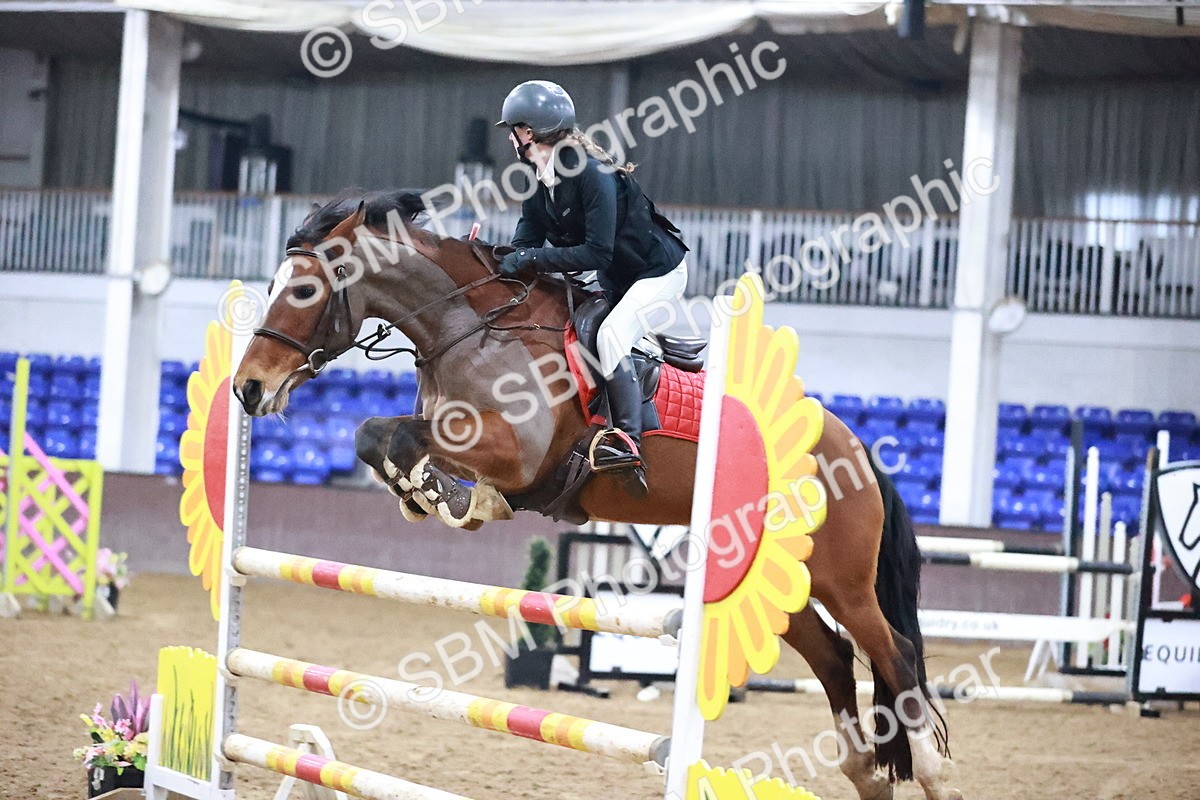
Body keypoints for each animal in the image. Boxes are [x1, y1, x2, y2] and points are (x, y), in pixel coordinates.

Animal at [231, 191, 962, 800]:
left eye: (304, 288)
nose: (247, 389)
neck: (471, 328)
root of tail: (853, 444)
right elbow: (376, 434)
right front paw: (433, 493)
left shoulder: (517, 454)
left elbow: (399, 435)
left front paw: (447, 495)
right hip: (778, 577)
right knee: (837, 659)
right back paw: (865, 774)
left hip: (841, 577)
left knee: (894, 655)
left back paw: (932, 774)